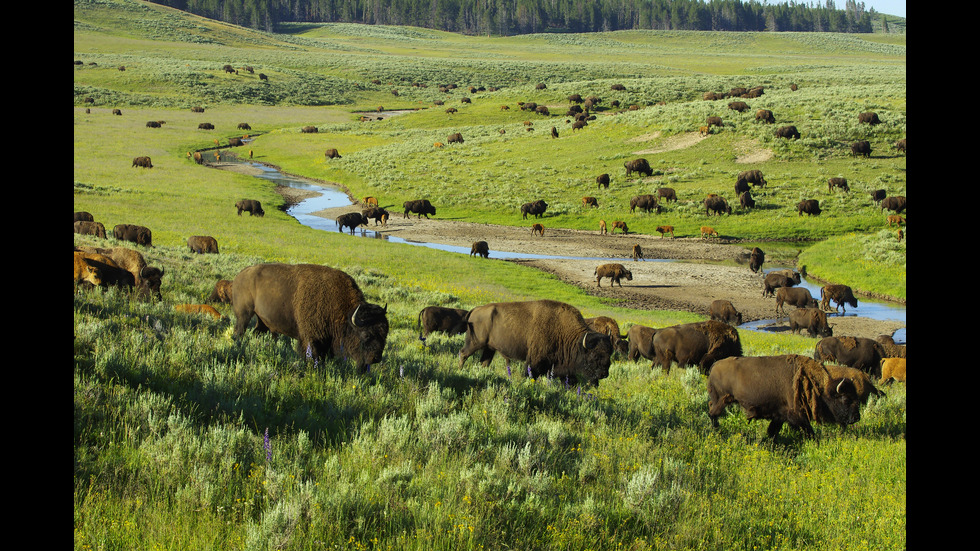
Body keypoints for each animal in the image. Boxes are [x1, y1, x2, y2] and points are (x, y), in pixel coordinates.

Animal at [234, 264, 390, 376]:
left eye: (385, 335)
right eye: (366, 335)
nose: (376, 358)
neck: (343, 313)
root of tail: (241, 274)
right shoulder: (312, 340)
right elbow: (312, 356)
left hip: (262, 321)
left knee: (256, 332)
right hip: (244, 315)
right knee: (239, 331)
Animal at [460, 300, 612, 386]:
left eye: (609, 355)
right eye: (594, 356)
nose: (604, 374)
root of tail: (475, 309)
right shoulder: (535, 361)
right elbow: (530, 374)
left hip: (489, 348)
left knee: (484, 362)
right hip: (474, 343)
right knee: (463, 354)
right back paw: (460, 371)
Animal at [708, 356, 860, 442]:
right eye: (846, 399)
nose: (856, 418)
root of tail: (714, 365)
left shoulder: (780, 416)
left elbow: (773, 430)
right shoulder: (796, 415)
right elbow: (808, 430)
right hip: (721, 400)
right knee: (712, 414)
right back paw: (716, 430)